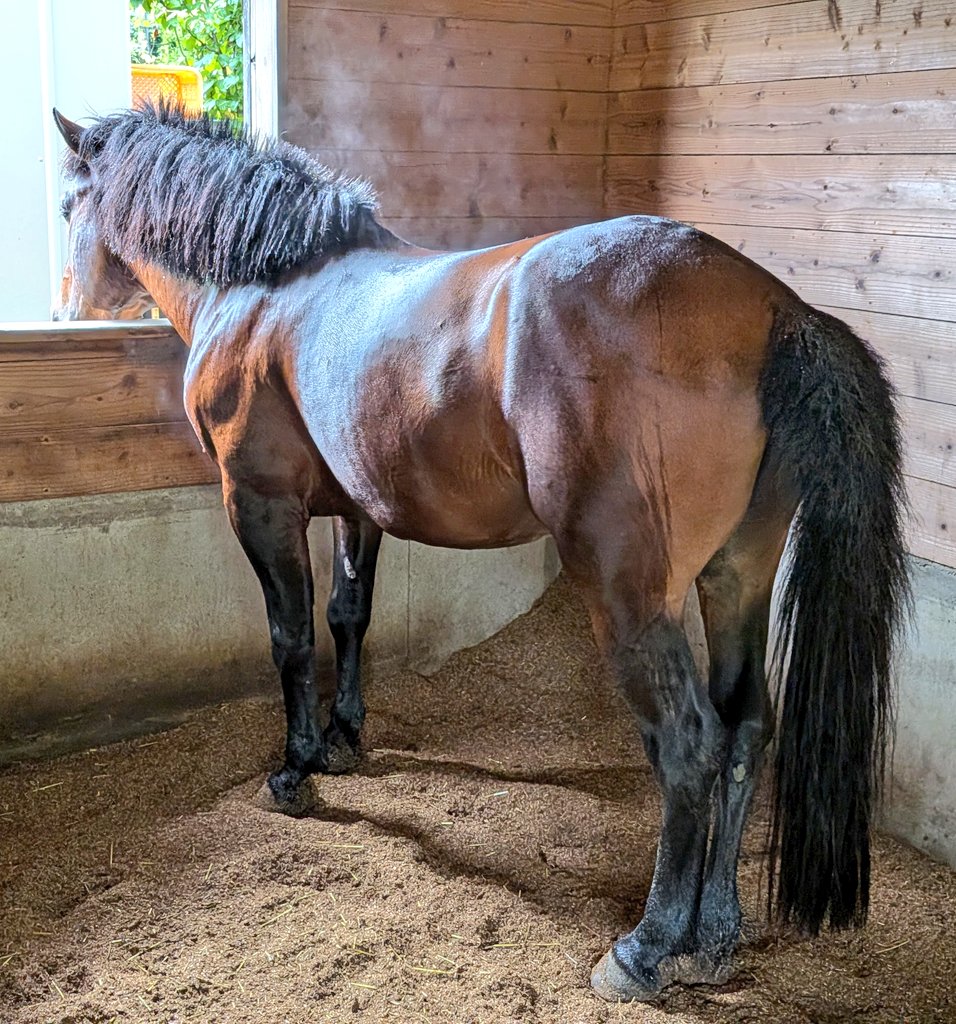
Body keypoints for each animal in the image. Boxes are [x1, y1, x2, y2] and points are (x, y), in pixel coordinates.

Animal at [50, 104, 909, 1002]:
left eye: (69, 208)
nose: (69, 308)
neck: (267, 289)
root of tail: (774, 310)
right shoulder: (355, 510)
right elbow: (347, 617)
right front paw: (345, 739)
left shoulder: (259, 504)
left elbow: (290, 638)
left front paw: (296, 770)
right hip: (735, 577)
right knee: (745, 730)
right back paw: (712, 940)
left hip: (633, 593)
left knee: (688, 744)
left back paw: (644, 948)